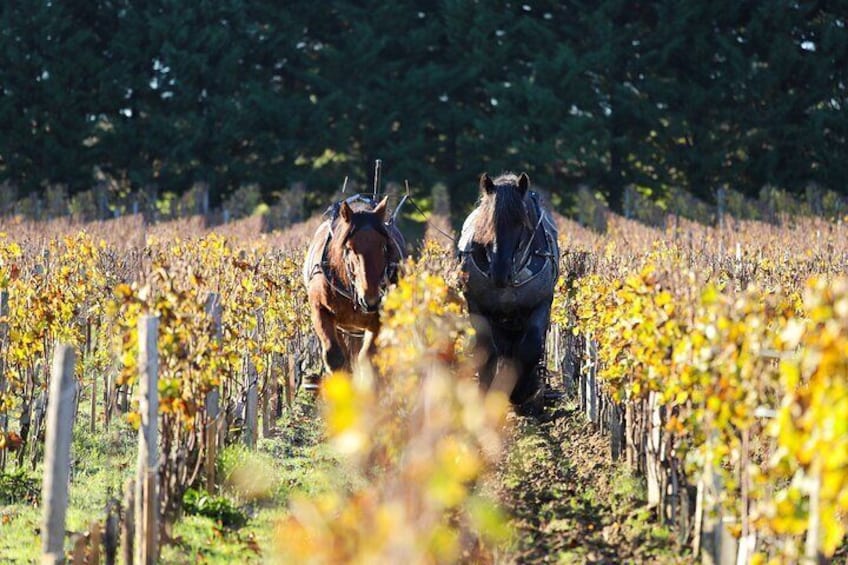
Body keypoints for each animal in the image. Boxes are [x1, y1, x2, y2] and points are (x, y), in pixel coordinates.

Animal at [304, 195, 406, 374]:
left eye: (384, 247)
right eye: (349, 248)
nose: (370, 300)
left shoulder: (380, 317)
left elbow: (369, 359)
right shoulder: (319, 308)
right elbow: (335, 356)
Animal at [460, 172, 560, 414]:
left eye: (520, 223)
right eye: (486, 223)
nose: (499, 272)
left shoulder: (541, 302)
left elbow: (530, 346)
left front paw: (522, 391)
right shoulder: (477, 304)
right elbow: (487, 347)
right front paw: (488, 388)